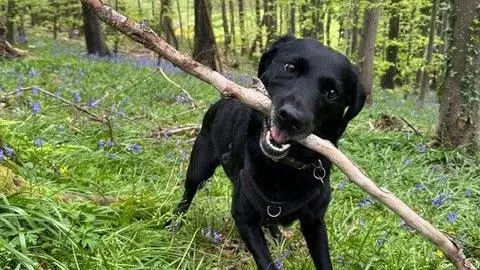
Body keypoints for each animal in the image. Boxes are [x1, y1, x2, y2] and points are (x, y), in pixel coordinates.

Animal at [171, 36, 366, 270]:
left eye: (331, 93)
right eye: (290, 67)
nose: (291, 118)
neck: (285, 168)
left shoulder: (314, 222)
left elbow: (324, 262)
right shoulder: (244, 218)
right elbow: (267, 263)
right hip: (198, 168)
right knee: (187, 195)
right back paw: (174, 224)